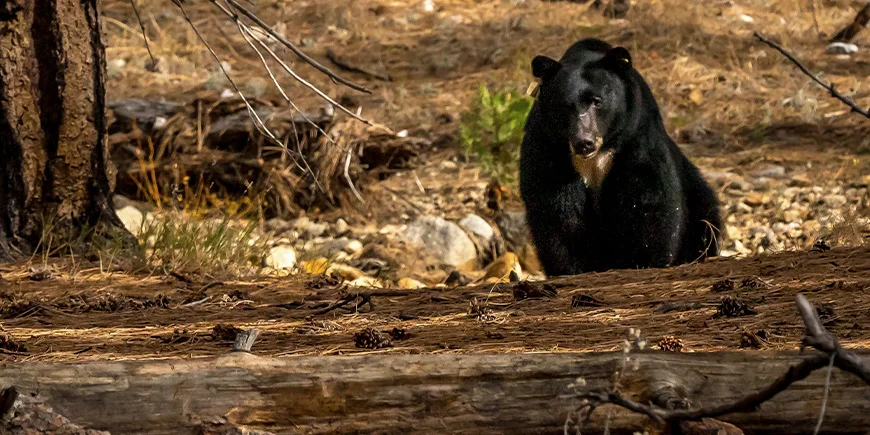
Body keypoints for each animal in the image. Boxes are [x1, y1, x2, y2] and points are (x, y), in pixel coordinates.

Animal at [519, 38, 722, 277]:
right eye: (564, 106)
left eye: (597, 101)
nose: (584, 142)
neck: (598, 154)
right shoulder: (548, 145)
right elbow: (555, 206)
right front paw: (571, 268)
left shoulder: (636, 134)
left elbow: (648, 196)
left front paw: (645, 260)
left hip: (698, 196)